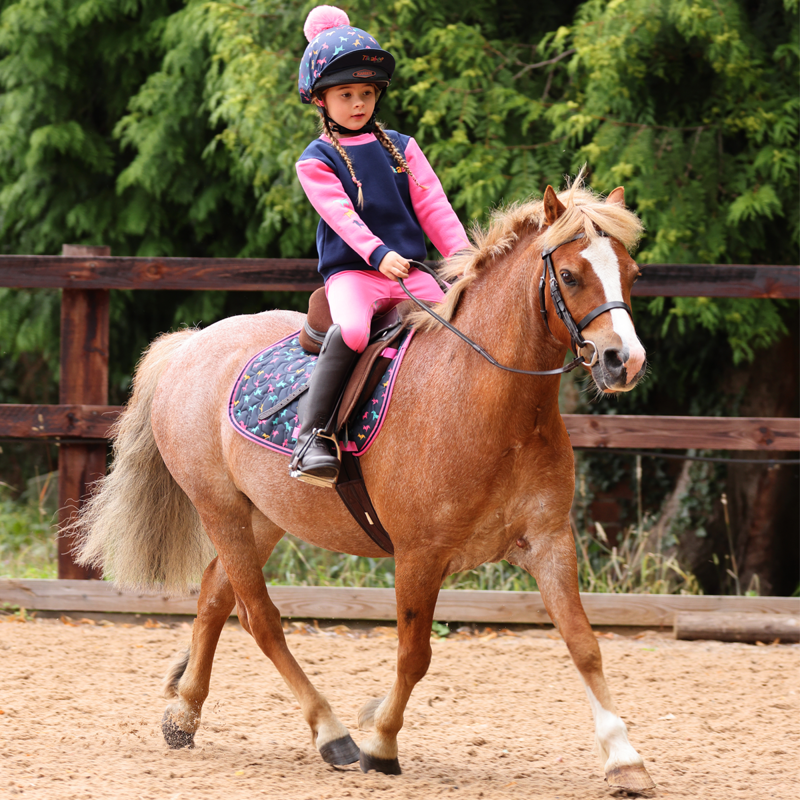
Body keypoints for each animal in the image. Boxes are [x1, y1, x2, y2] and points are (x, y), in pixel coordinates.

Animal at [75, 180, 655, 794]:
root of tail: (190, 345)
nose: (623, 361)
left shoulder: (549, 543)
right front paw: (380, 742)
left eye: (632, 272)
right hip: (221, 510)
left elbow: (584, 643)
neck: (490, 401)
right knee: (261, 619)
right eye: (569, 274)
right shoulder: (420, 556)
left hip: (264, 517)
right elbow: (414, 655)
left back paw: (184, 715)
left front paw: (625, 757)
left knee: (214, 596)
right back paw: (331, 734)